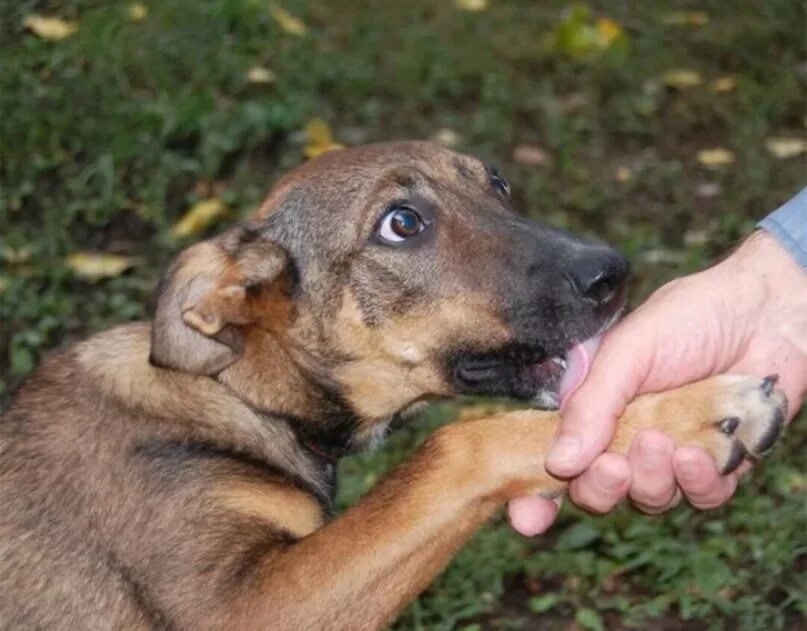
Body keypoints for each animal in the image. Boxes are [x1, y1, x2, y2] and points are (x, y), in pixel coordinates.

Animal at [0, 143, 784, 631]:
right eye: (401, 223)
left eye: (497, 182)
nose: (611, 273)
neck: (246, 398)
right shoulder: (241, 608)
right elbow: (454, 448)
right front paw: (704, 408)